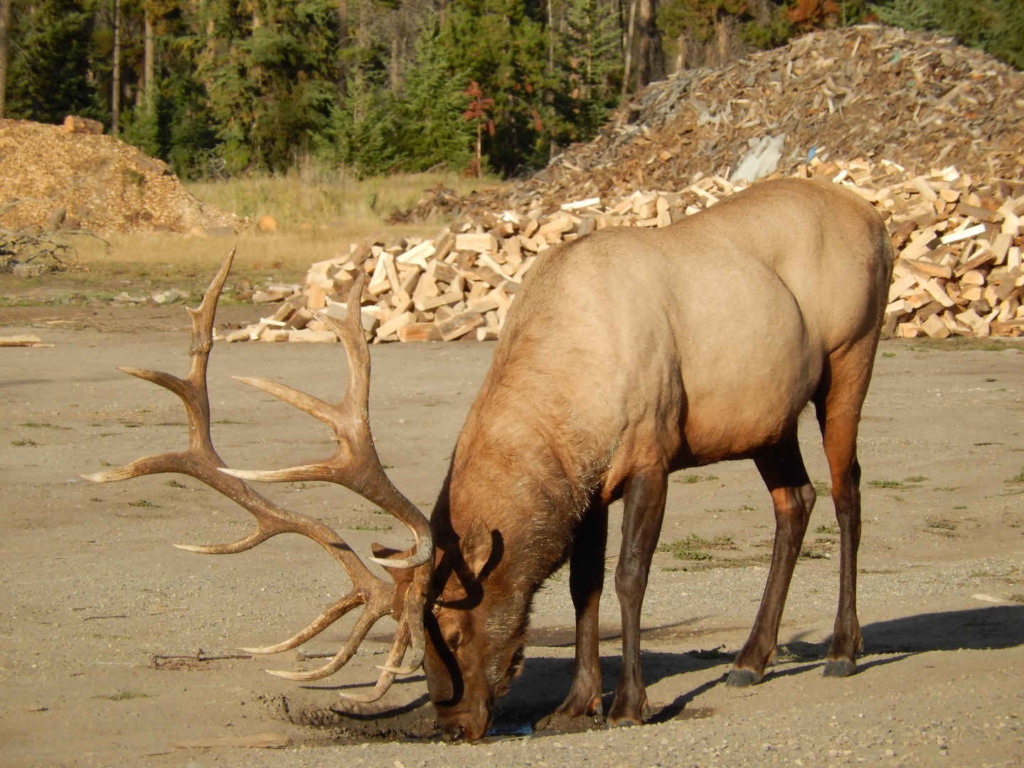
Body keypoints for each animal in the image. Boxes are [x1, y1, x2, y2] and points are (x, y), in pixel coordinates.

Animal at [86, 179, 888, 741]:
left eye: (448, 629)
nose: (454, 723)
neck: (572, 396)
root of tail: (876, 217)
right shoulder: (586, 488)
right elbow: (582, 587)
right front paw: (574, 705)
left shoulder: (651, 449)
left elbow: (629, 579)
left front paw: (630, 704)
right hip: (768, 417)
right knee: (796, 501)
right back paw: (751, 660)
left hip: (852, 353)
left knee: (848, 490)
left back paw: (844, 648)